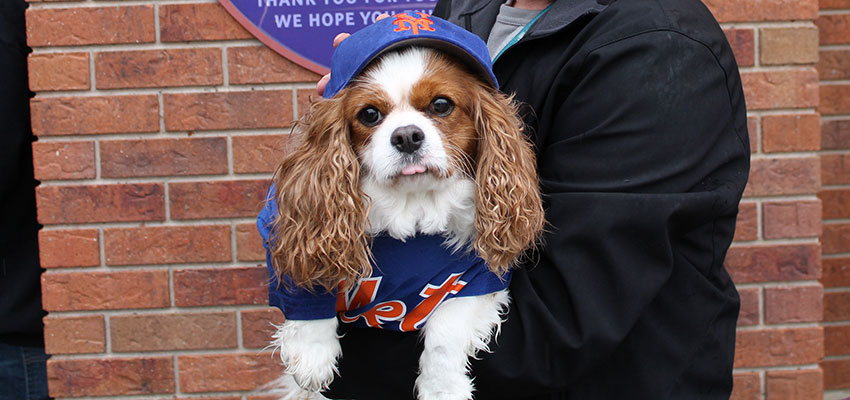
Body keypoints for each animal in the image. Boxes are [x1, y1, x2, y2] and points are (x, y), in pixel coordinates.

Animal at [260, 13, 544, 400]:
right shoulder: (286, 233)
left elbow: (447, 331)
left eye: (441, 105)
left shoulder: (479, 277)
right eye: (369, 114)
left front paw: (443, 387)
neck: (413, 203)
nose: (407, 136)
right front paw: (311, 354)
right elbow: (310, 288)